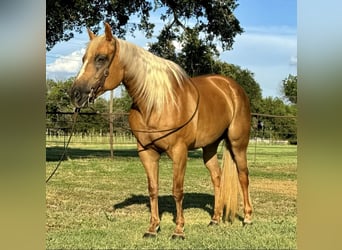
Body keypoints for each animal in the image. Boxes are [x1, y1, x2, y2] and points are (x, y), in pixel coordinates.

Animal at [69, 22, 252, 239]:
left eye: (101, 58)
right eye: (83, 59)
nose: (75, 94)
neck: (156, 104)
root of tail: (231, 87)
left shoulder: (179, 152)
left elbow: (177, 190)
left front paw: (179, 230)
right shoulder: (147, 152)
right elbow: (153, 189)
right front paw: (153, 228)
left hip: (238, 144)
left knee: (243, 177)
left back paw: (248, 218)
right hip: (209, 147)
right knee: (217, 177)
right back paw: (215, 219)